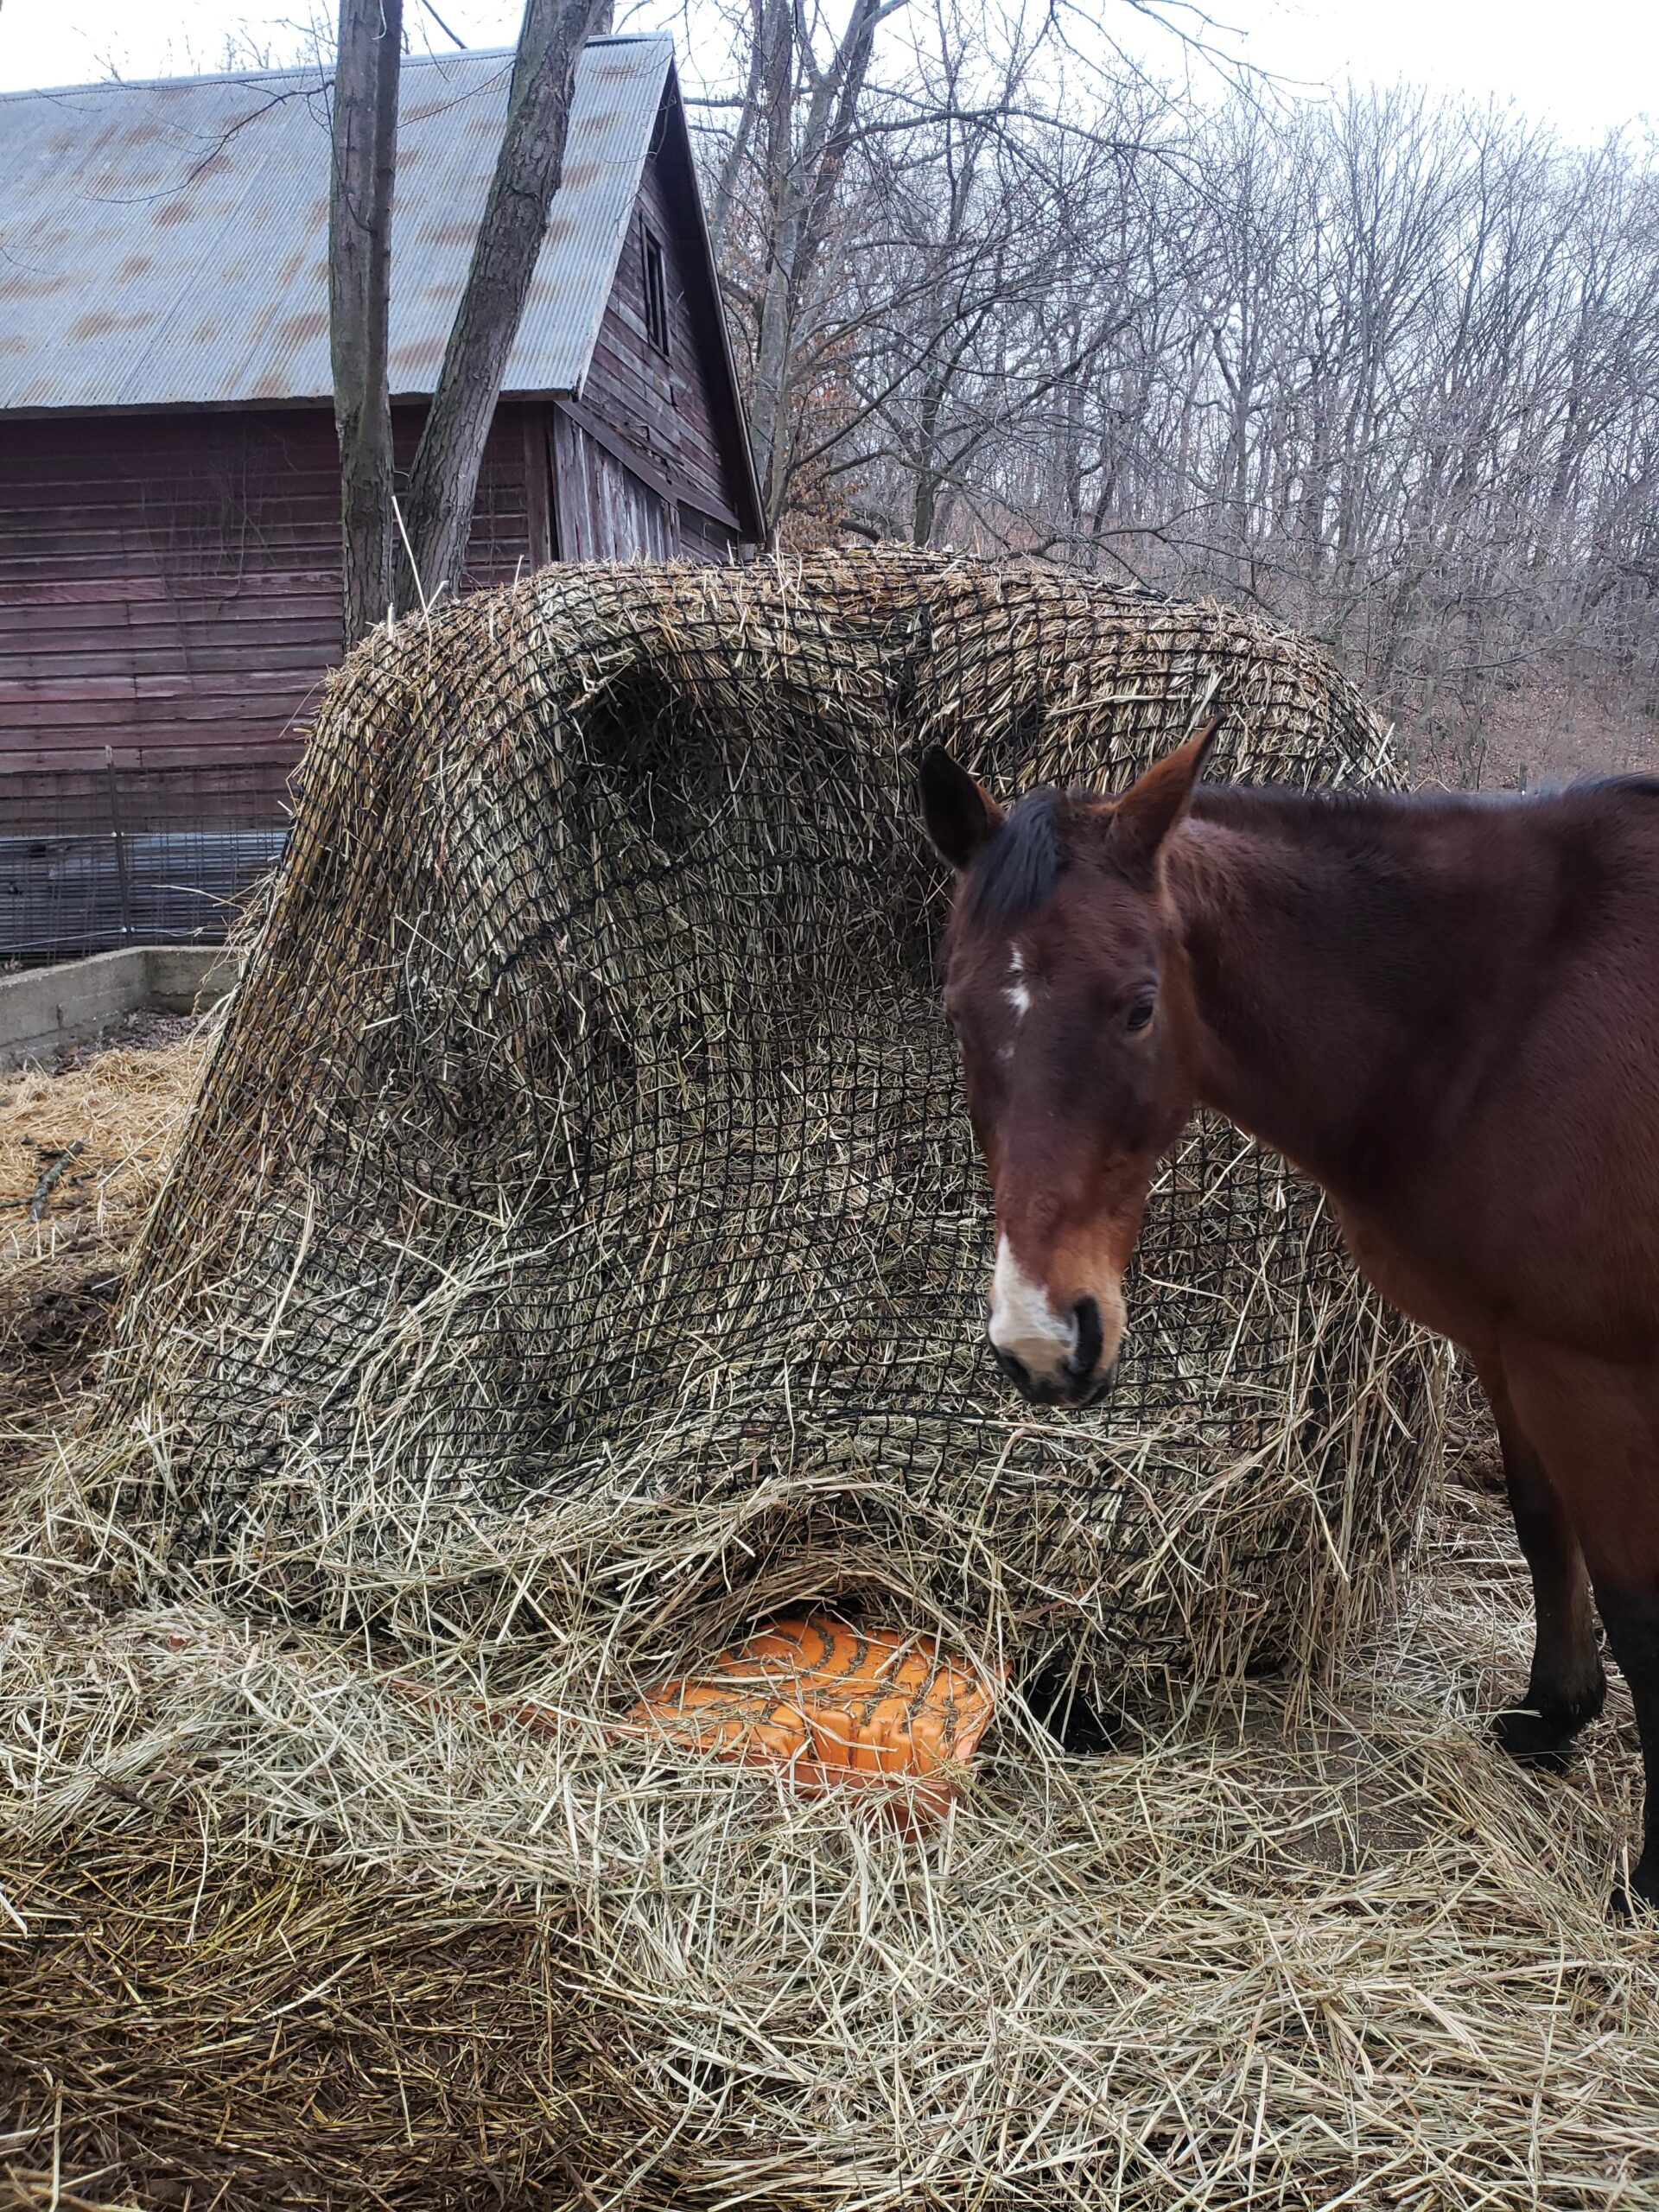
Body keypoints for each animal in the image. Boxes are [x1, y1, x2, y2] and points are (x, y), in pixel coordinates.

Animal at [920, 725, 1659, 1914]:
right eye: (956, 1009)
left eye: (1138, 1004)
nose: (1041, 1334)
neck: (1505, 1008)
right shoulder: (1511, 1346)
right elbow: (1544, 1525)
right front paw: (1554, 1718)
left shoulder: (1593, 1370)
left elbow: (1642, 1605)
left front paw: (1654, 1868)